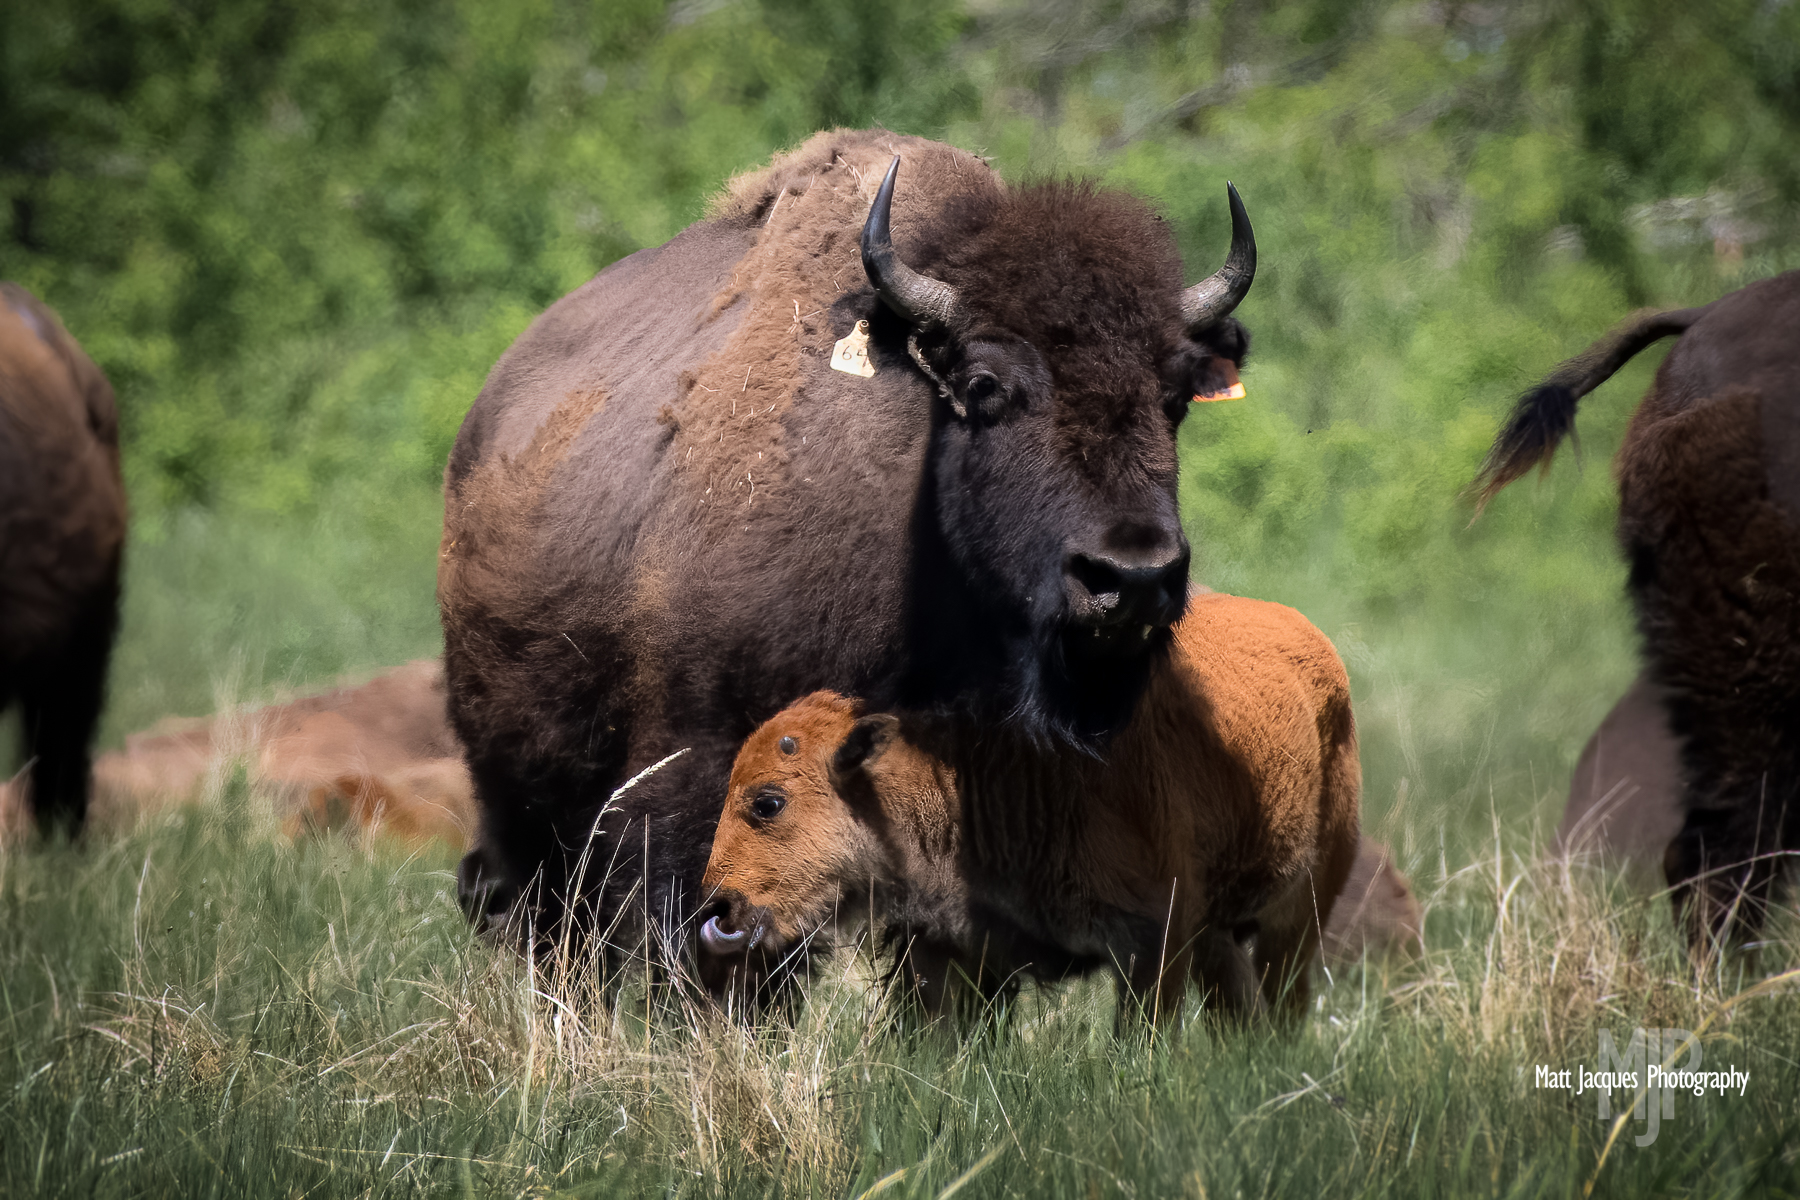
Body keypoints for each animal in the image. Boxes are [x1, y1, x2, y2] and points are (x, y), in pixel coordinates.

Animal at [694, 597, 1353, 1029]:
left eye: (768, 801)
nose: (719, 908)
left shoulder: (1155, 942)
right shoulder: (956, 950)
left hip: (1299, 913)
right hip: (1222, 933)